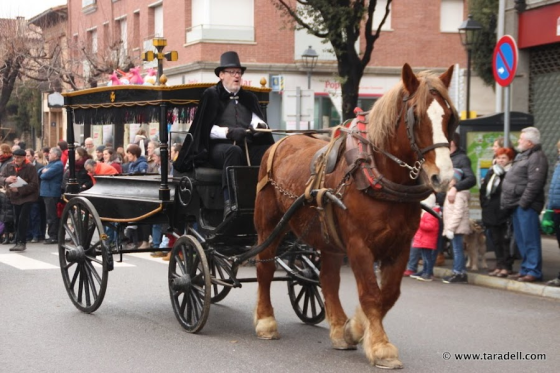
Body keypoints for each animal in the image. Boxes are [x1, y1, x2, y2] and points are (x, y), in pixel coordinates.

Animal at [253, 63, 456, 366]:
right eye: (417, 116)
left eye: (450, 117)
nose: (443, 177)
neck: (377, 174)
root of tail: (279, 143)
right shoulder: (359, 244)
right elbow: (371, 293)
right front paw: (381, 346)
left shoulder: (400, 245)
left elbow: (388, 294)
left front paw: (354, 328)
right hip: (269, 226)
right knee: (264, 267)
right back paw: (265, 321)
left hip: (327, 238)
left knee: (328, 279)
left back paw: (338, 329)